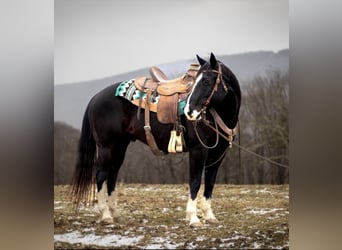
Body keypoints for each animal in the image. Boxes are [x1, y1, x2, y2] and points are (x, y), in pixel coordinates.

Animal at [71, 52, 240, 227]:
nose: (189, 112)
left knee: (112, 175)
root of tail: (95, 98)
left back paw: (115, 214)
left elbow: (210, 182)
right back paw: (105, 215)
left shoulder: (218, 153)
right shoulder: (198, 151)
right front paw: (193, 218)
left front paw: (209, 216)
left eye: (206, 81)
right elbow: (195, 182)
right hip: (107, 147)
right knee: (101, 174)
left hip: (119, 147)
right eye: (195, 82)